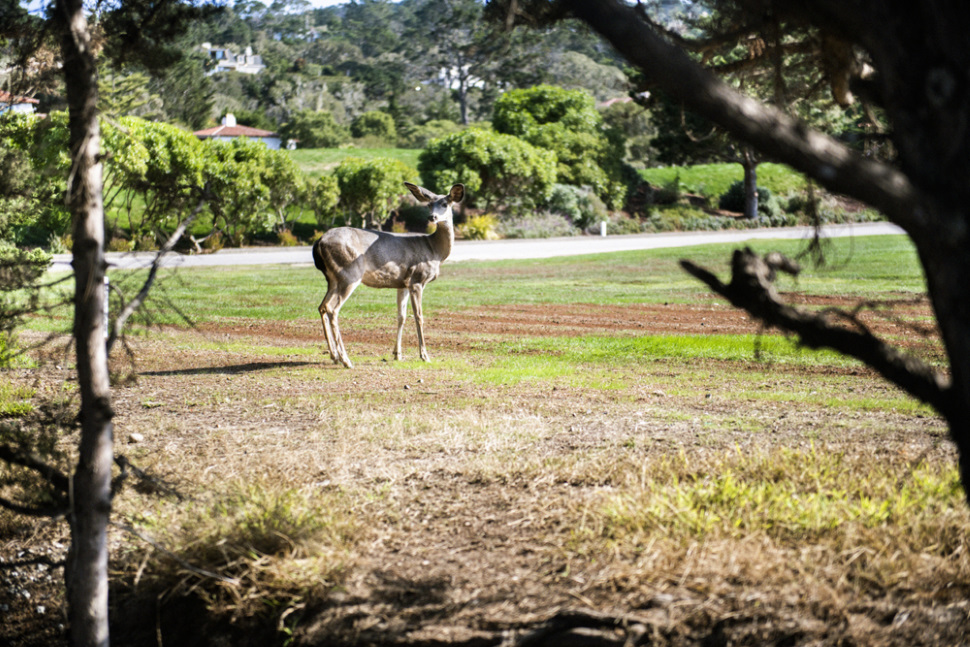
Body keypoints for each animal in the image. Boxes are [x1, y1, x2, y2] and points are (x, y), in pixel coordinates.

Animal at [310, 185, 462, 370]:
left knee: (322, 306)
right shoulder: (417, 279)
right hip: (349, 274)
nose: (432, 217)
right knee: (332, 308)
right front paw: (424, 356)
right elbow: (419, 316)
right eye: (429, 204)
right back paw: (346, 360)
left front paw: (397, 354)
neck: (435, 250)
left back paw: (334, 356)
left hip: (333, 279)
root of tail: (319, 242)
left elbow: (401, 317)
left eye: (445, 203)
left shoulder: (403, 283)